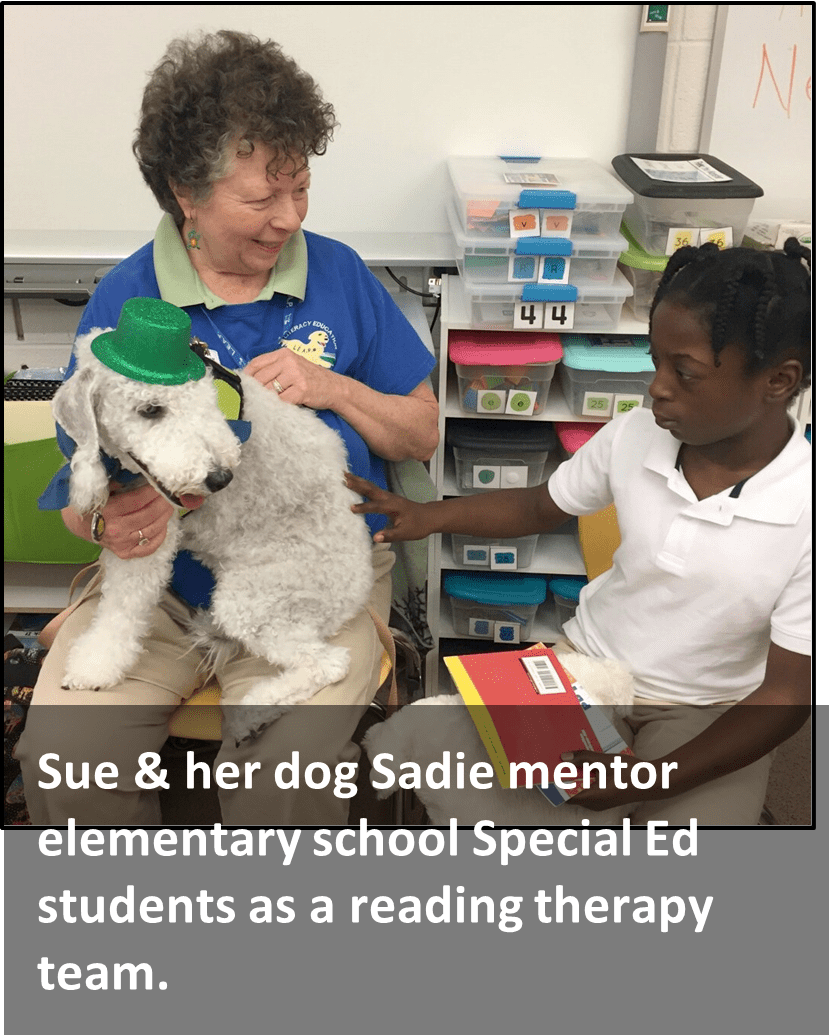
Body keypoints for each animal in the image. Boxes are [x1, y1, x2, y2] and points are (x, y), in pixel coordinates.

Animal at [53, 327, 373, 741]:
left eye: (209, 404)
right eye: (151, 410)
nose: (220, 478)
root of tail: (357, 593)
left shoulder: (156, 533)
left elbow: (123, 609)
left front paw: (93, 667)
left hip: (256, 600)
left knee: (329, 664)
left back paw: (250, 713)